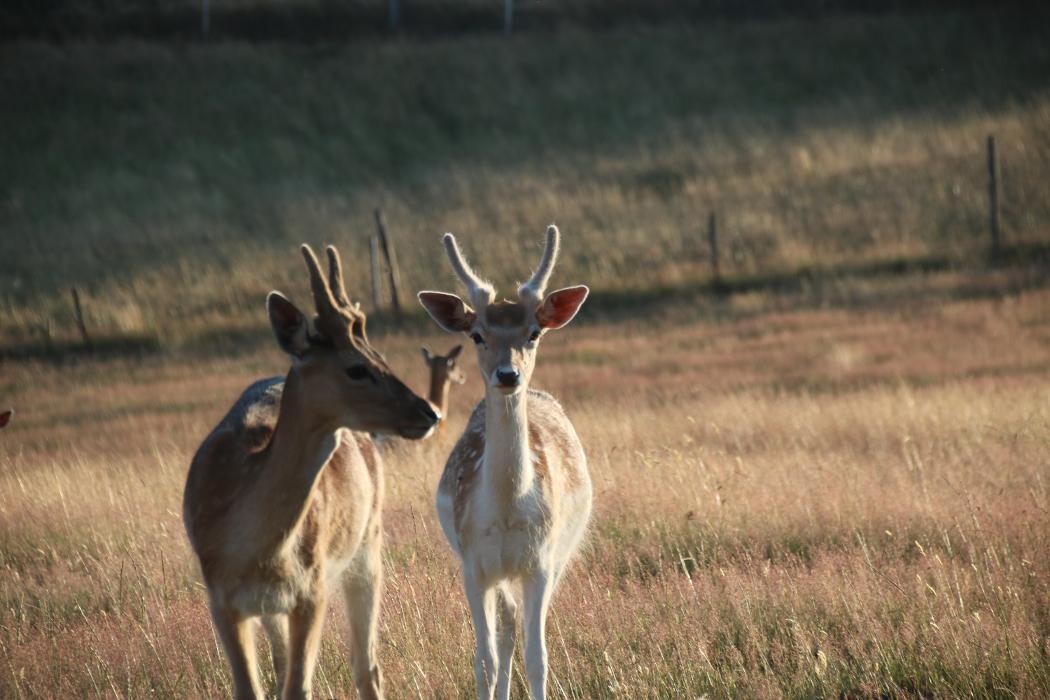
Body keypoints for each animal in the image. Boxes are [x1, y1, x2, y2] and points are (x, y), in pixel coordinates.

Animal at [184, 242, 438, 700]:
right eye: (357, 367)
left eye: (381, 356)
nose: (428, 412)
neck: (252, 550)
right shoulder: (220, 597)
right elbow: (253, 688)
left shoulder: (312, 588)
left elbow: (299, 686)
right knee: (285, 662)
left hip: (368, 545)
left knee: (367, 666)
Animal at [419, 225, 600, 700]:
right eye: (477, 334)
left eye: (534, 332)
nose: (508, 375)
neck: (504, 512)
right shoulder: (472, 564)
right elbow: (484, 660)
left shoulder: (541, 562)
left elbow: (538, 658)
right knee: (504, 627)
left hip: (560, 554)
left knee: (514, 624)